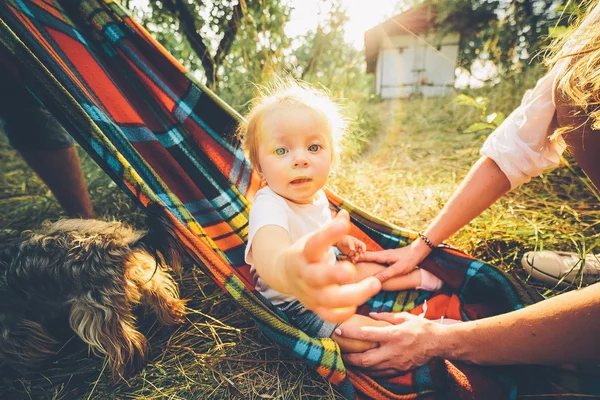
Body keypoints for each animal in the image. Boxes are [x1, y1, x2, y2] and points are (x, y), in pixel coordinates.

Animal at [0, 209, 186, 382]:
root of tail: (117, 246)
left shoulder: (12, 326)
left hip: (95, 308)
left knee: (126, 344)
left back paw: (122, 373)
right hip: (142, 275)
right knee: (161, 295)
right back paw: (173, 319)